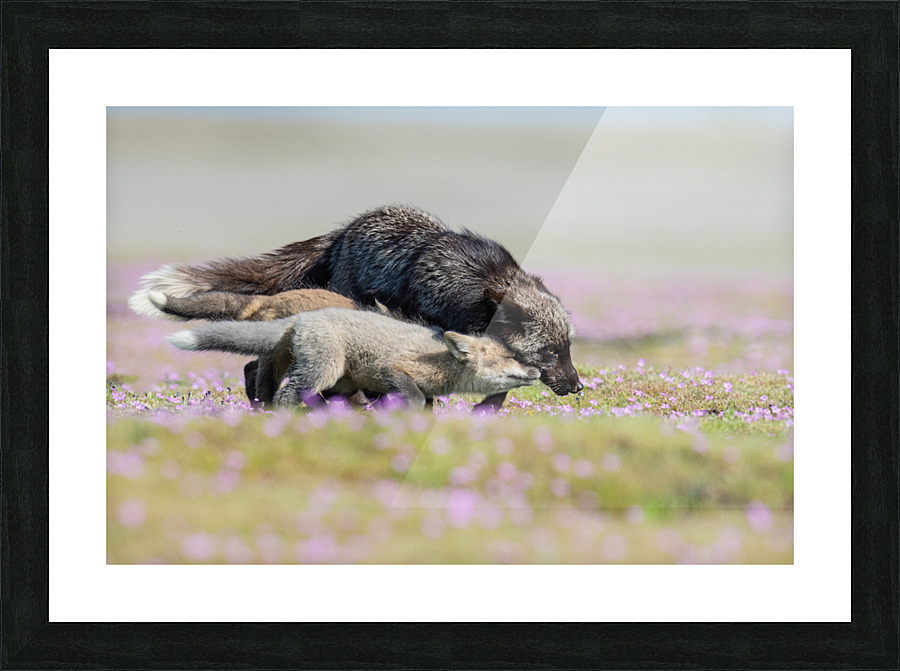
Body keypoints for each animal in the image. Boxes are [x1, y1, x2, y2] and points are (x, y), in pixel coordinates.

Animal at [167, 308, 542, 409]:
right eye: (510, 356)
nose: (538, 370)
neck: (443, 363)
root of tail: (304, 317)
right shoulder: (394, 368)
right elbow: (415, 399)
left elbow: (426, 405)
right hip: (325, 369)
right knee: (289, 393)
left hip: (340, 382)